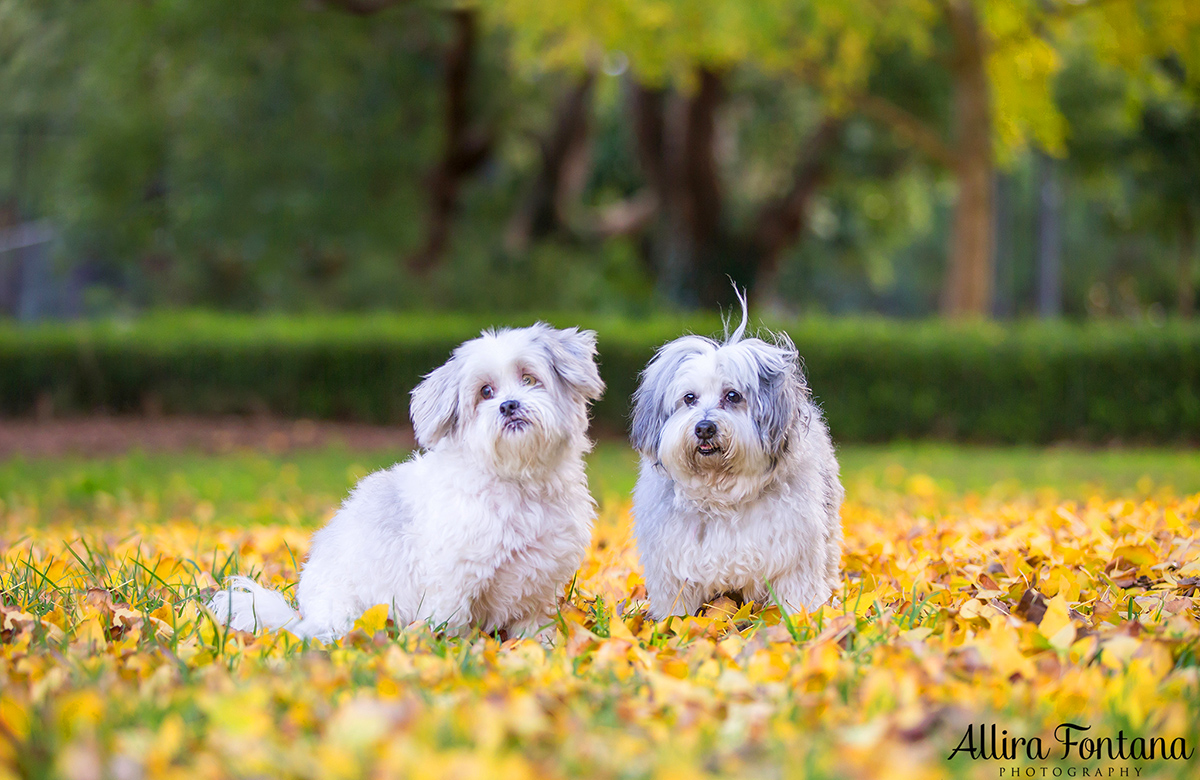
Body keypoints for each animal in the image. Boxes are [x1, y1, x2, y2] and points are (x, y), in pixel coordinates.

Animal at [206, 321, 604, 638]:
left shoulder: (538, 585)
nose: (509, 405)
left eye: (529, 379)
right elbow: (453, 626)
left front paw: (538, 650)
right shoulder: (453, 581)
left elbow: (533, 628)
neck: (518, 480)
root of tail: (304, 618)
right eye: (486, 392)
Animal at [628, 288, 844, 614]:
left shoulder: (794, 555)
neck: (722, 497)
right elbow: (678, 612)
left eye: (732, 396)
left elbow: (796, 599)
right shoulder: (673, 566)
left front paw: (801, 621)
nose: (704, 428)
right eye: (689, 398)